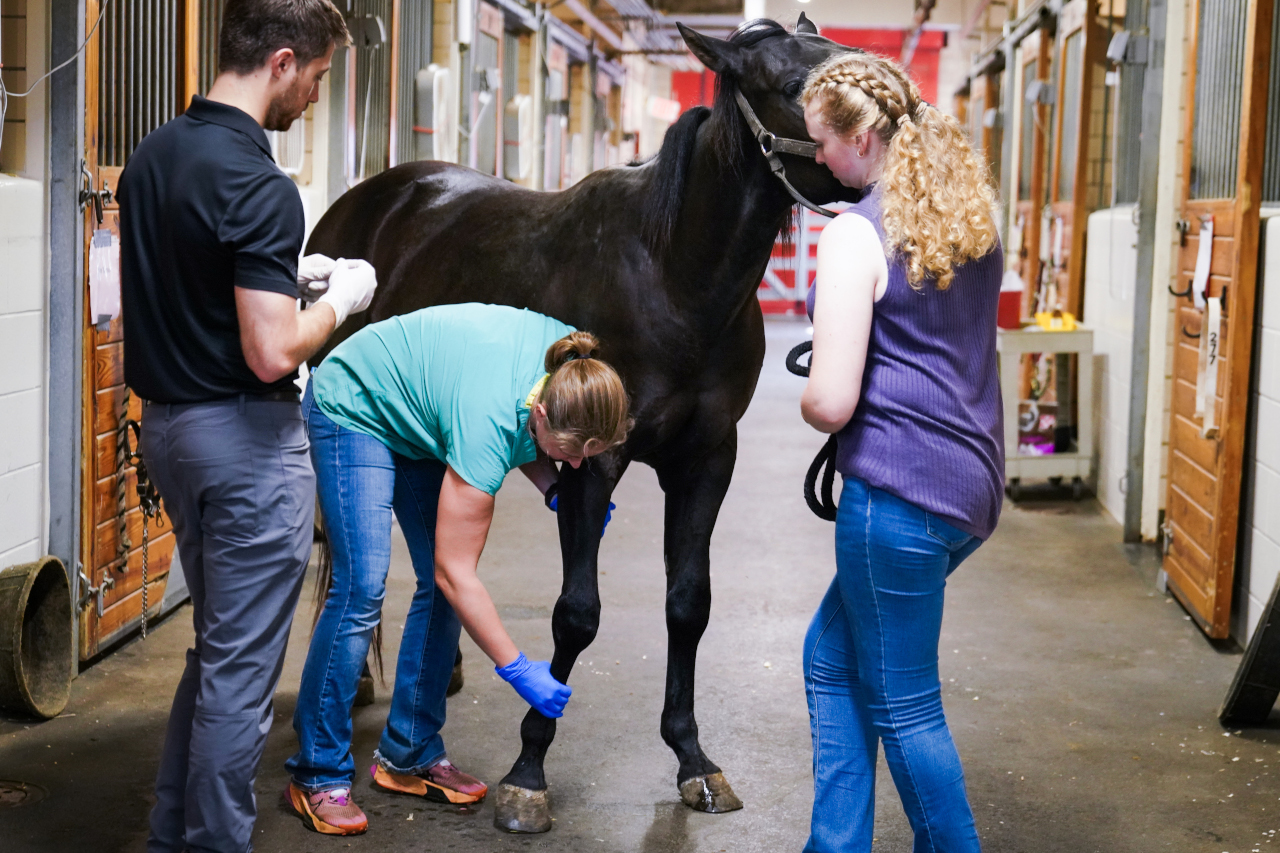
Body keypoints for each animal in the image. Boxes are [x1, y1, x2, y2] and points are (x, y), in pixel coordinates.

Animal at [304, 18, 855, 829]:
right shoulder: (592, 462)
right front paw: (528, 770)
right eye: (792, 86)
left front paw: (694, 759)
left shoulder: (707, 460)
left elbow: (688, 604)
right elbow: (577, 615)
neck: (672, 275)